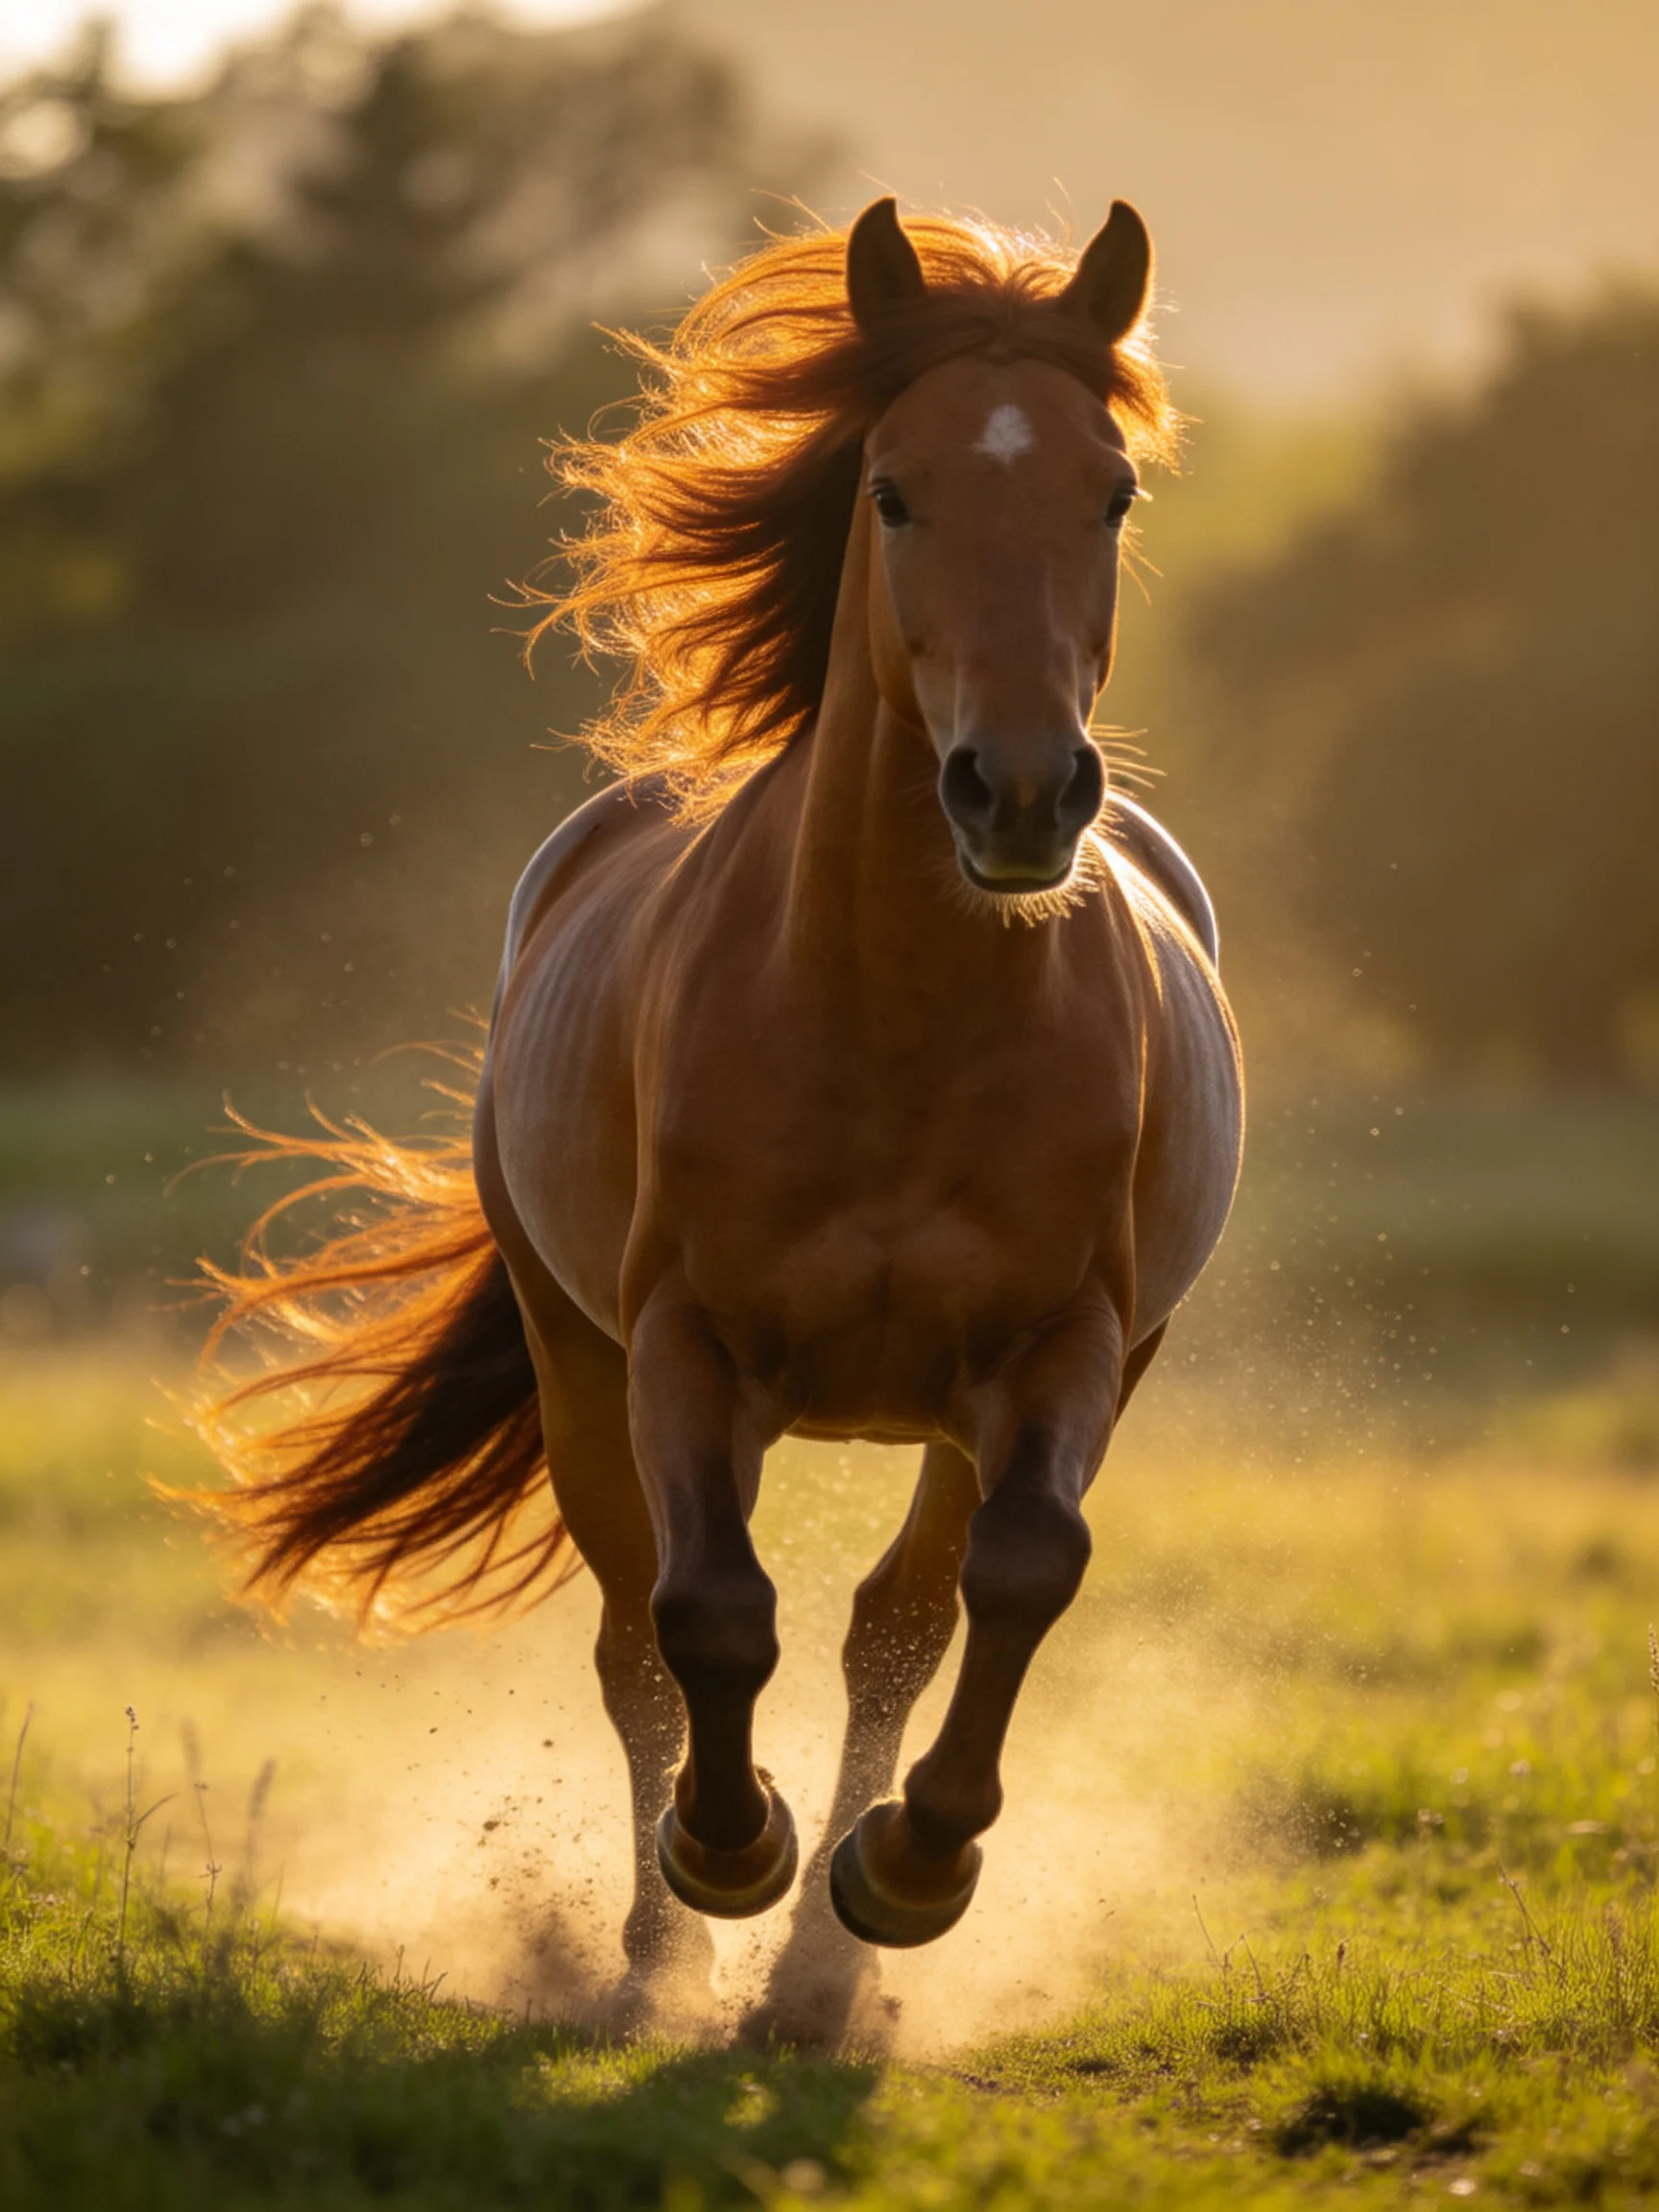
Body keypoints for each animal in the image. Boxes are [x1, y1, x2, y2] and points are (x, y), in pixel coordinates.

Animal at [191, 197, 1243, 2035]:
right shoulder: (684, 1341)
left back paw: (820, 1974)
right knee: (637, 1636)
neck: (894, 1021)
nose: (1021, 794)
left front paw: (905, 1872)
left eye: (1110, 491)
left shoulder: (1070, 1345)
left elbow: (1012, 1573)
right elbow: (708, 1613)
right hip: (580, 1361)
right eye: (890, 491)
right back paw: (655, 1953)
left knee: (896, 1622)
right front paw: (723, 1852)